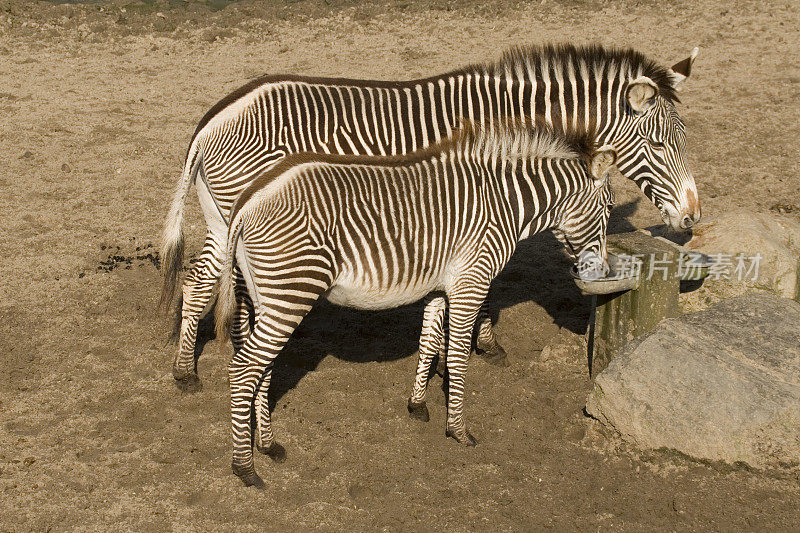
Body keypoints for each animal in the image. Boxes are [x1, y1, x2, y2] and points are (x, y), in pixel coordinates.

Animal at [162, 41, 700, 382]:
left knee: (201, 280)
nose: (692, 218)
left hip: (223, 216)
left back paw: (189, 367)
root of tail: (210, 121)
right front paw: (483, 345)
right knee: (216, 282)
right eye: (658, 144)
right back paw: (200, 368)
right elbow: (485, 287)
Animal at [214, 120, 620, 486]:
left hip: (267, 297)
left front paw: (418, 405)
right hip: (292, 291)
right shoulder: (471, 284)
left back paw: (268, 445)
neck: (505, 203)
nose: (602, 272)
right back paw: (245, 468)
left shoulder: (440, 287)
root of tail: (248, 201)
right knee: (244, 369)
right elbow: (457, 358)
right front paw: (458, 429)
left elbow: (428, 343)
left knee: (262, 368)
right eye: (609, 209)